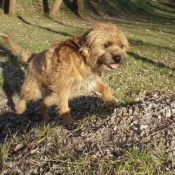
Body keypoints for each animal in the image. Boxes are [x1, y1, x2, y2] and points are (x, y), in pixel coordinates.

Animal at [0, 22, 129, 124]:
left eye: (121, 45)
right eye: (106, 44)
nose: (118, 58)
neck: (82, 57)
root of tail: (34, 56)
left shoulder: (90, 81)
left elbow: (106, 88)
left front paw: (110, 102)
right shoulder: (63, 88)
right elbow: (64, 107)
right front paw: (69, 122)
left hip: (53, 94)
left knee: (42, 104)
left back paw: (45, 118)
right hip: (32, 88)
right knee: (23, 96)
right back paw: (20, 108)